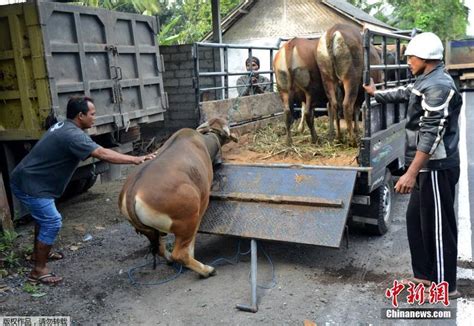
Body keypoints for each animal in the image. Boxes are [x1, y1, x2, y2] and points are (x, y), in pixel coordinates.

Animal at [118, 118, 237, 276]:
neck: (204, 142)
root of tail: (132, 194)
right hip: (188, 220)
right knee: (180, 254)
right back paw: (206, 270)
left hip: (150, 231)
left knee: (160, 249)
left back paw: (170, 260)